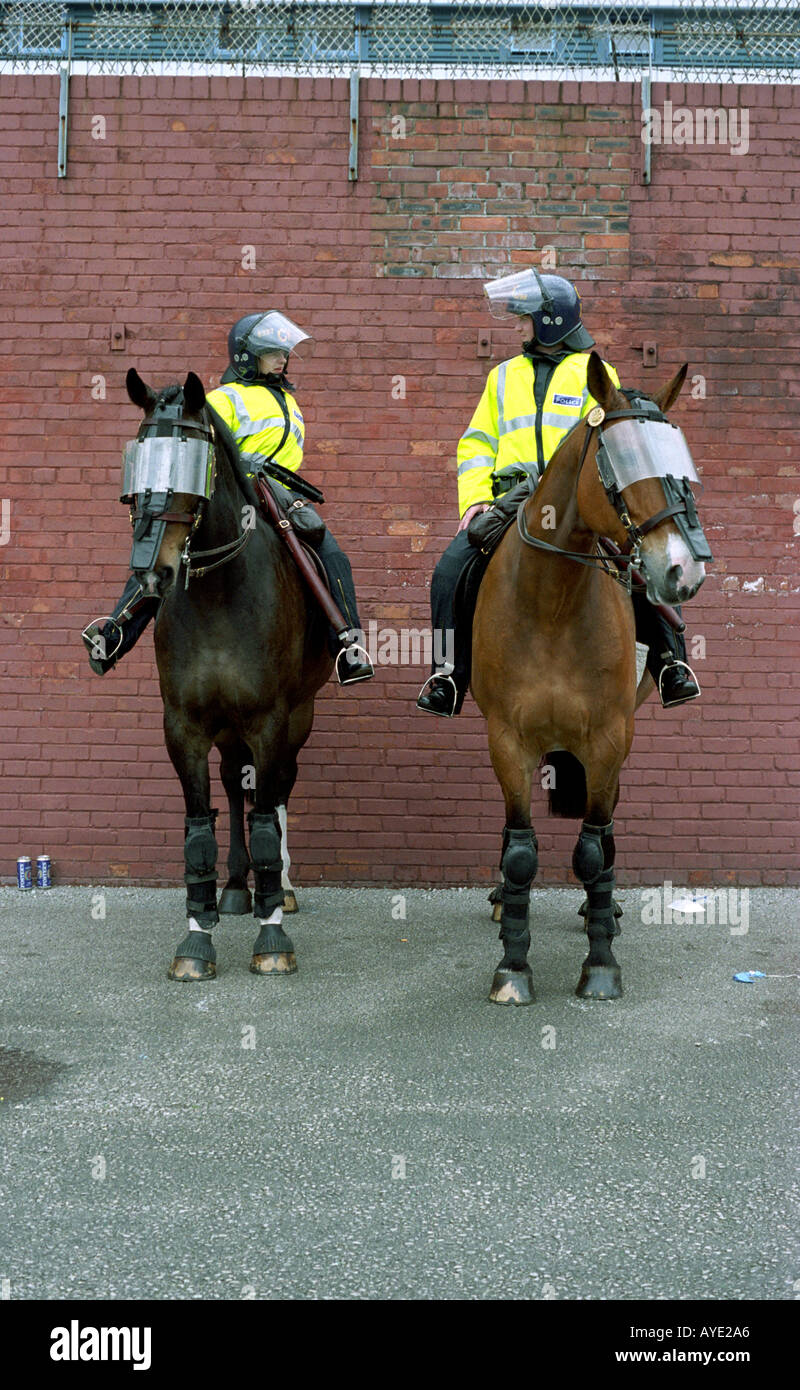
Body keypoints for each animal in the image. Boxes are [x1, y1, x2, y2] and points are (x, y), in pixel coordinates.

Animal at [124, 369, 330, 978]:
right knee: (237, 786)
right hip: (228, 726)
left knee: (276, 789)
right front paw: (196, 939)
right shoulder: (184, 725)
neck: (219, 595)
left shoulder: (270, 719)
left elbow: (265, 816)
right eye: (139, 459)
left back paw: (279, 889)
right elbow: (198, 828)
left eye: (191, 460)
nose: (152, 572)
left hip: (297, 716)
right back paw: (238, 887)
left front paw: (272, 934)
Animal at [472, 355, 708, 1011]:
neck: (552, 602)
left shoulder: (607, 739)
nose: (683, 570)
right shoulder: (507, 741)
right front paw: (513, 967)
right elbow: (520, 852)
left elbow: (592, 849)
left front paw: (600, 963)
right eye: (619, 459)